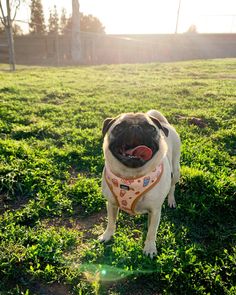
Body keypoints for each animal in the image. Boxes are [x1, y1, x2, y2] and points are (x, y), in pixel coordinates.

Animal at [99, 110, 181, 258]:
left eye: (151, 128)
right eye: (119, 127)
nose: (135, 126)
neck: (131, 177)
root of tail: (164, 123)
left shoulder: (155, 211)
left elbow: (152, 232)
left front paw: (149, 248)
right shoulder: (111, 204)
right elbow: (111, 222)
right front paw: (107, 235)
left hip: (176, 170)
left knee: (172, 186)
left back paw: (171, 200)